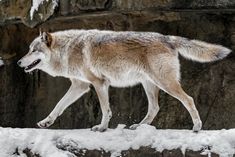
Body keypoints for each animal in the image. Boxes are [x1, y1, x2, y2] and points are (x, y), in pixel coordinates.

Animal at [17, 29, 231, 131]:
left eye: (33, 50)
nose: (19, 62)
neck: (67, 50)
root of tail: (166, 37)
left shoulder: (99, 83)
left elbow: (106, 110)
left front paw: (102, 128)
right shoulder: (81, 86)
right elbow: (59, 106)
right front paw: (46, 122)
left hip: (164, 83)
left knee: (189, 100)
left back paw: (197, 127)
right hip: (149, 85)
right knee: (155, 108)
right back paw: (138, 126)